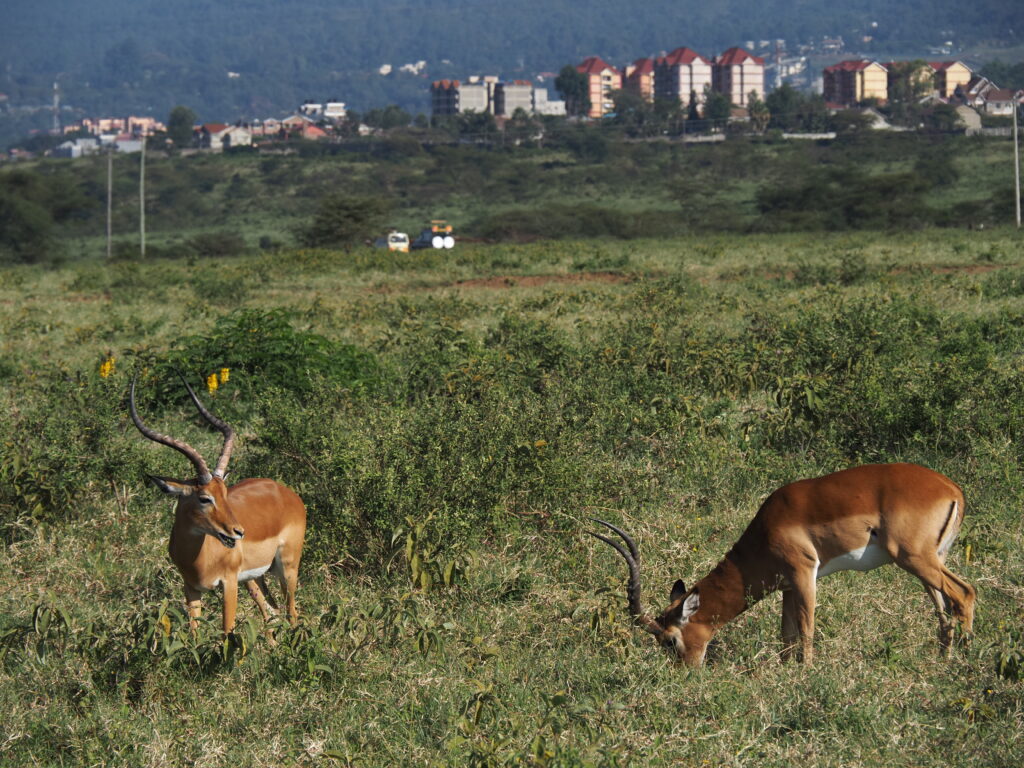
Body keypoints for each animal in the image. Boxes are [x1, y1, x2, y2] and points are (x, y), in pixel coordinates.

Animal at [128, 374, 305, 638]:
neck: (200, 557)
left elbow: (227, 632)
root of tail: (287, 493)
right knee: (271, 613)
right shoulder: (191, 588)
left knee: (292, 613)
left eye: (224, 493)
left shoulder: (228, 583)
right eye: (205, 498)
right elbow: (194, 635)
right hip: (254, 579)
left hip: (287, 569)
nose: (238, 532)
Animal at [589, 462, 970, 667]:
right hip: (929, 562)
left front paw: (807, 674)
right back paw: (944, 660)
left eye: (670, 640)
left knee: (964, 594)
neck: (767, 529)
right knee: (945, 608)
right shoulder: (787, 586)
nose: (685, 672)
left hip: (914, 558)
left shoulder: (804, 574)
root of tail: (951, 488)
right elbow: (786, 636)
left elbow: (806, 630)